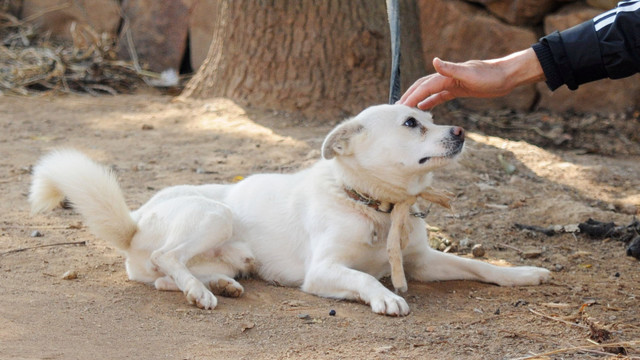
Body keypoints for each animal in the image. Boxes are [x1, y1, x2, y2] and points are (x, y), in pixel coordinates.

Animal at [28, 104, 552, 316]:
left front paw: (522, 274)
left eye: (432, 118)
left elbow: (480, 266)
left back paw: (215, 285)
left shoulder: (421, 262)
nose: (461, 132)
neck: (377, 206)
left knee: (164, 275)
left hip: (227, 254)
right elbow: (364, 278)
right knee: (167, 258)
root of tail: (133, 224)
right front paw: (384, 297)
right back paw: (200, 293)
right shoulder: (323, 271)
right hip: (213, 214)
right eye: (411, 123)